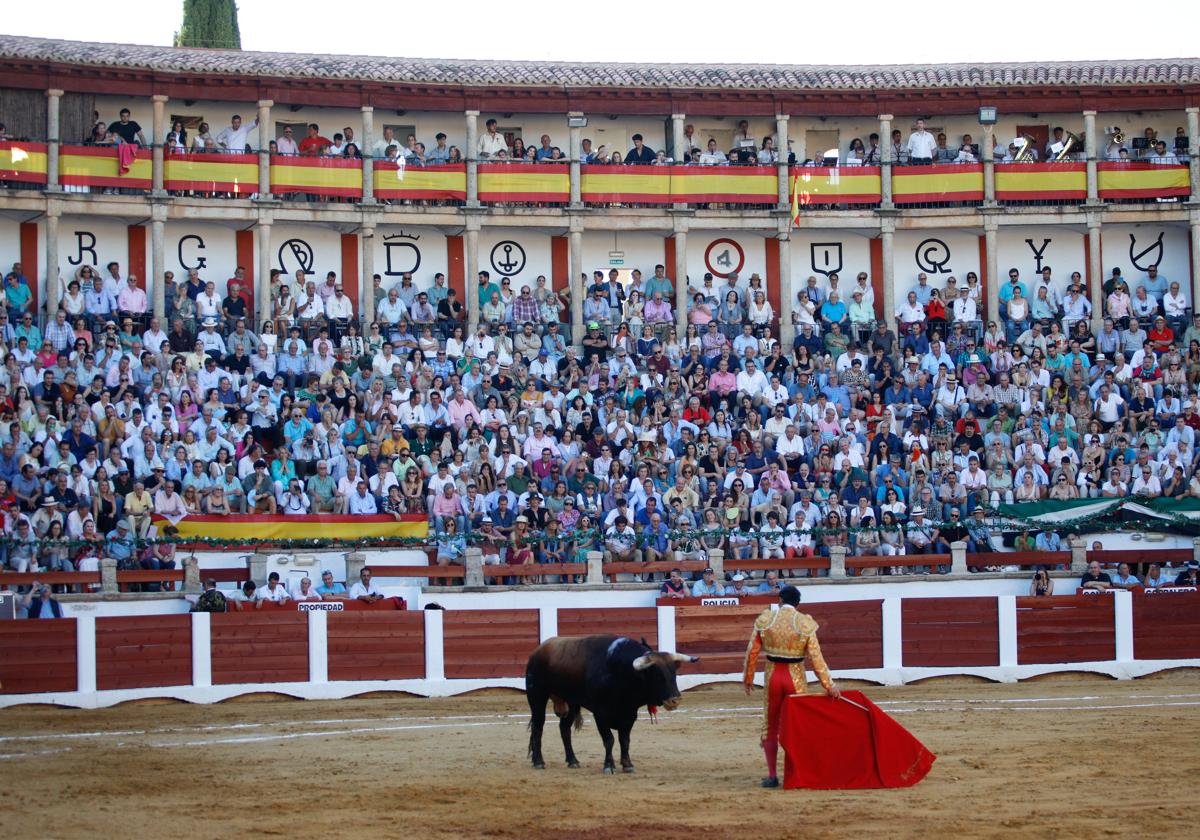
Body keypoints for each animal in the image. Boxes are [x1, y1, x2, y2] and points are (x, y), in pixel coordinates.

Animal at [523, 633, 700, 772]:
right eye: (657, 675)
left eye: (673, 673)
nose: (675, 699)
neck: (620, 671)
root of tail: (538, 651)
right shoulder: (600, 714)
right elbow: (609, 739)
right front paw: (609, 765)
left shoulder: (630, 714)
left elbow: (624, 740)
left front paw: (627, 765)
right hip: (537, 695)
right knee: (538, 726)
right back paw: (539, 762)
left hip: (571, 702)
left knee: (564, 729)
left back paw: (573, 761)